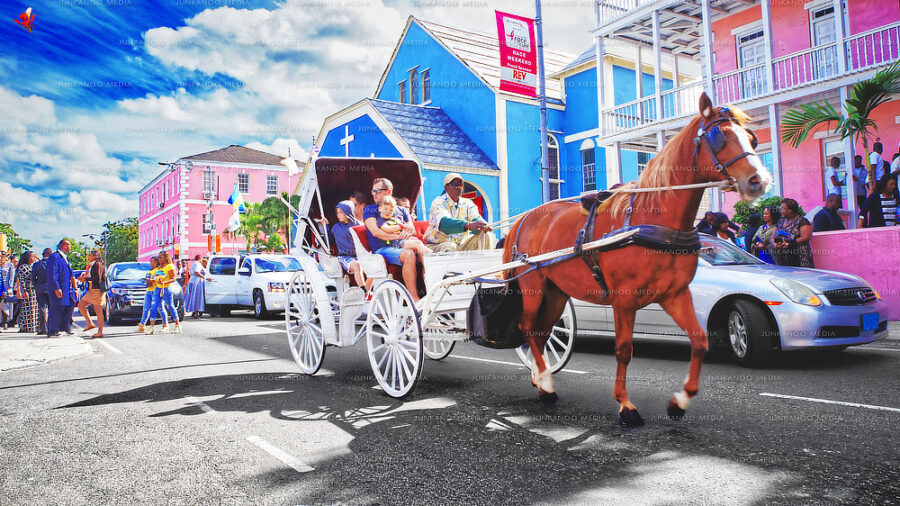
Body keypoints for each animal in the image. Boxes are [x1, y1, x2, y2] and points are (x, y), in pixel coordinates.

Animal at [502, 93, 768, 424]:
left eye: (752, 138)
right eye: (720, 136)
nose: (759, 180)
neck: (653, 219)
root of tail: (524, 219)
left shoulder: (674, 294)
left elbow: (699, 340)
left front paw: (680, 400)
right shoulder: (624, 300)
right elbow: (624, 350)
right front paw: (625, 406)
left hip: (556, 292)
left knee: (541, 333)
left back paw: (541, 380)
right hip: (533, 285)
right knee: (527, 327)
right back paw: (546, 382)